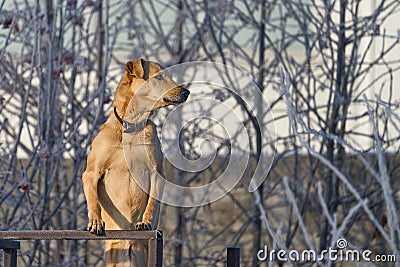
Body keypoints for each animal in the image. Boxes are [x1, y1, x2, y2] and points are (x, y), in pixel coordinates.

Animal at [82, 58, 190, 266]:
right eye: (159, 77)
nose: (186, 92)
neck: (132, 126)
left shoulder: (156, 172)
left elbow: (152, 204)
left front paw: (145, 221)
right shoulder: (91, 173)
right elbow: (93, 199)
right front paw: (95, 221)